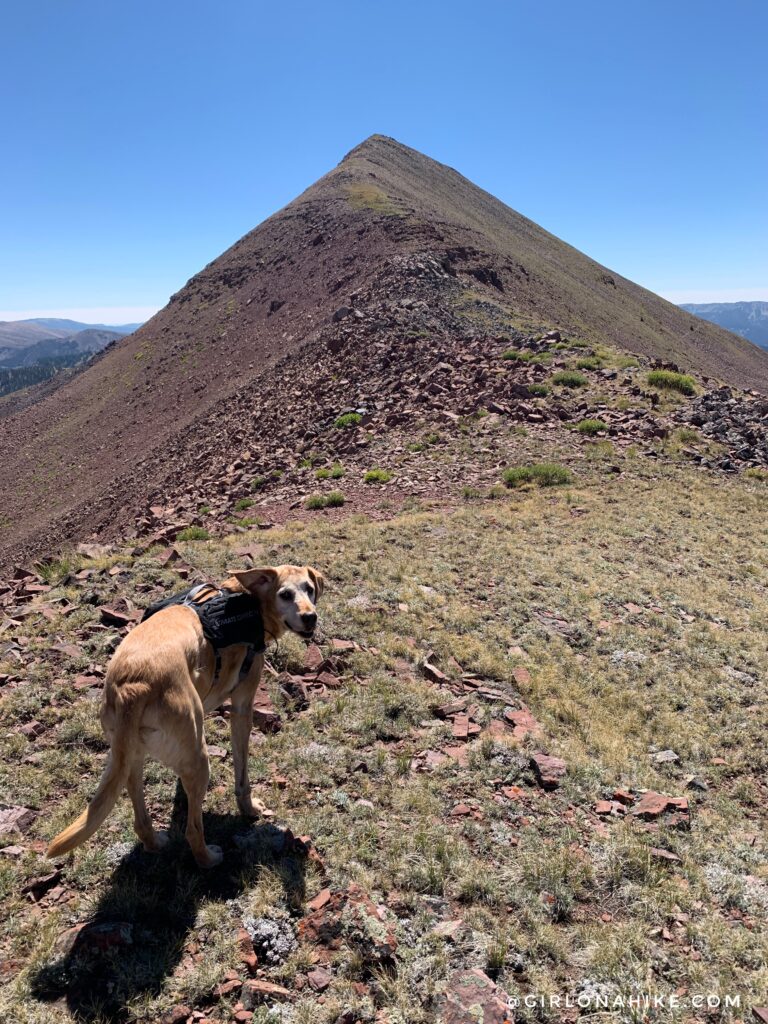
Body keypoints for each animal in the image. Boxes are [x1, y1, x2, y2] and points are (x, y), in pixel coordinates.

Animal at [47, 565, 325, 868]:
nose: (310, 617)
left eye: (309, 589)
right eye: (285, 594)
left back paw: (155, 841)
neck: (246, 598)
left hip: (129, 755)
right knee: (192, 831)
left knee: (141, 819)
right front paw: (249, 808)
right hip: (198, 758)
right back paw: (209, 858)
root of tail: (133, 686)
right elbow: (241, 775)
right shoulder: (242, 707)